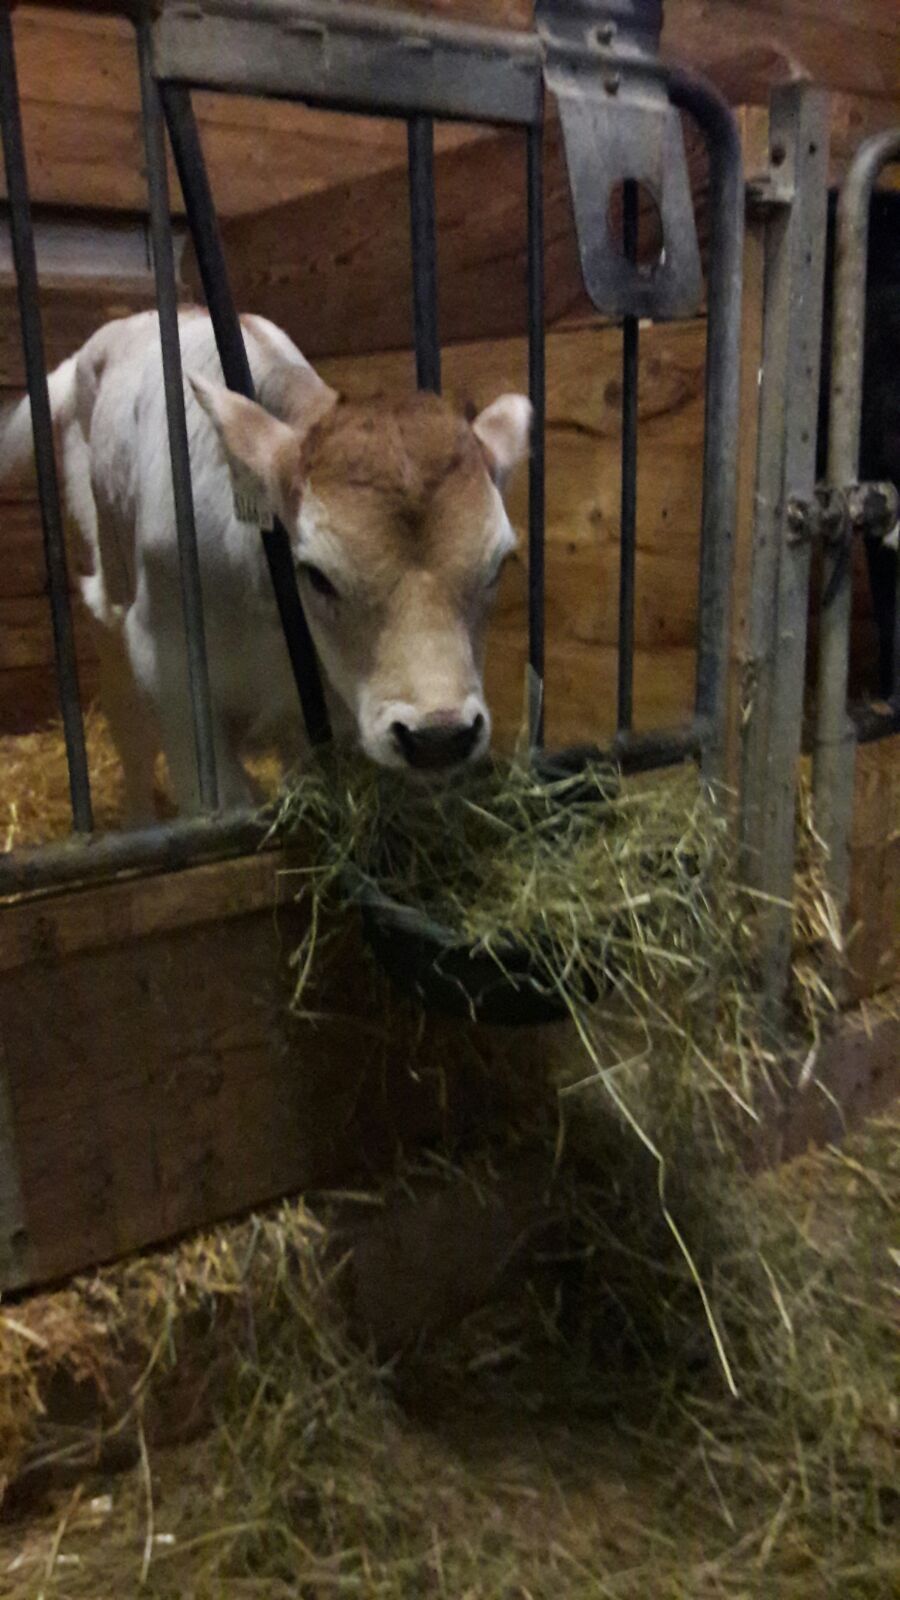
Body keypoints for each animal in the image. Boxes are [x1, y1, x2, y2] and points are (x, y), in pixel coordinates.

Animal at [0, 311, 531, 820]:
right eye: (318, 576)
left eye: (499, 564)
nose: (438, 736)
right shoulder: (170, 678)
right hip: (107, 604)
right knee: (129, 733)